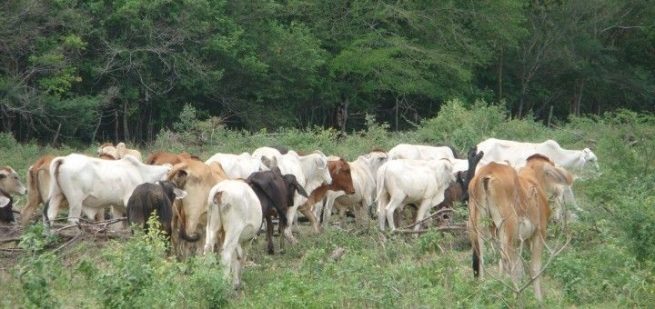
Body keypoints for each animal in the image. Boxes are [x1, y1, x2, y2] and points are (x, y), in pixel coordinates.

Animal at [44, 155, 172, 225]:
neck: (141, 172)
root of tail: (64, 159)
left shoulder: (117, 206)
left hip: (56, 195)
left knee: (50, 216)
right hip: (76, 202)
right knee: (72, 220)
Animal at [466, 153, 576, 300]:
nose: (559, 190)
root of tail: (487, 172)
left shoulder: (519, 241)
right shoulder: (539, 233)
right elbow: (534, 268)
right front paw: (539, 299)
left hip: (479, 228)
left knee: (481, 260)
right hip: (507, 228)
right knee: (506, 263)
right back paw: (513, 295)